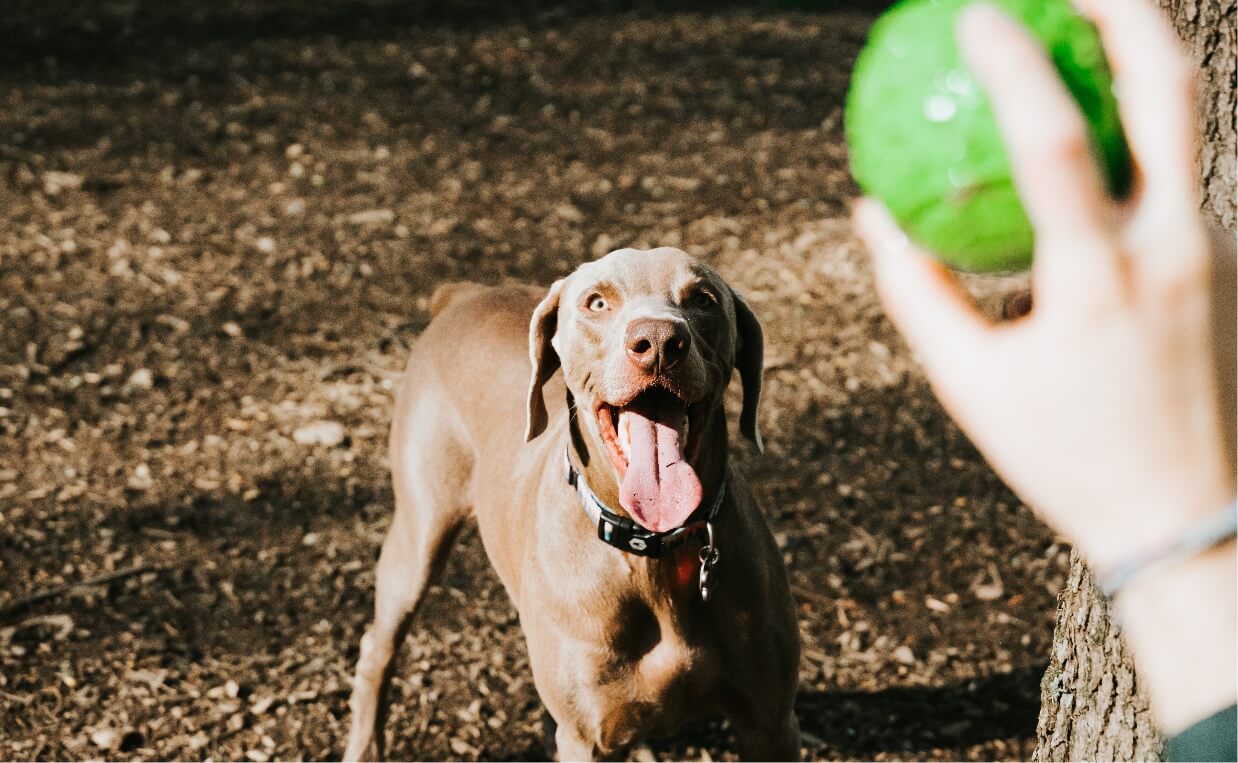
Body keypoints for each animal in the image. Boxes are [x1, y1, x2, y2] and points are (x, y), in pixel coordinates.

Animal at [344, 248, 797, 758]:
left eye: (703, 299)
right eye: (597, 302)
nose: (660, 341)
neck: (652, 552)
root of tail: (465, 296)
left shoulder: (771, 725)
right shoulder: (587, 739)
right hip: (419, 533)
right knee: (376, 650)